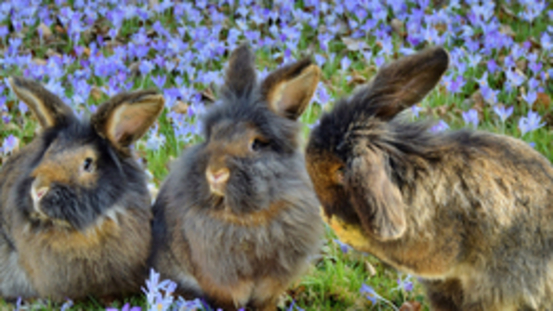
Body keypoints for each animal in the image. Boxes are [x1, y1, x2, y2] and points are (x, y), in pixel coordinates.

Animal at [149, 44, 326, 311]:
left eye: (256, 145)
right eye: (212, 135)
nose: (215, 173)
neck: (250, 217)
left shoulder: (274, 278)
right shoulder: (221, 279)